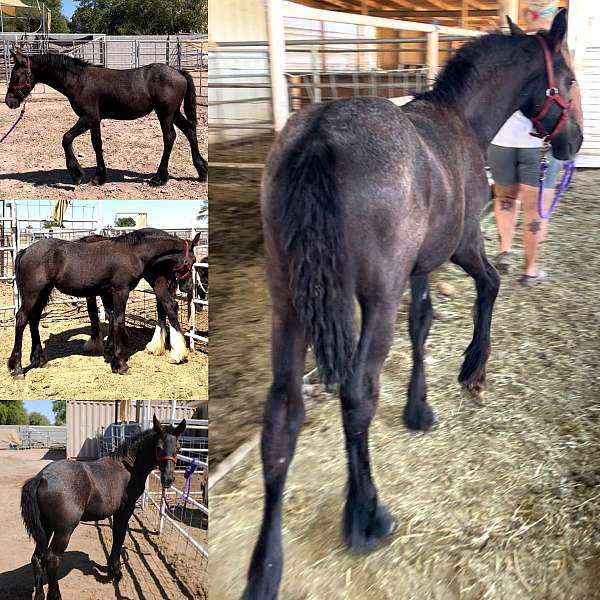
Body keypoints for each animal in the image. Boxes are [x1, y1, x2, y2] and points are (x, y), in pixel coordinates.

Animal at [4, 48, 209, 186]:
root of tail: (179, 72)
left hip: (165, 113)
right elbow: (97, 144)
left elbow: (66, 138)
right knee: (190, 130)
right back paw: (201, 170)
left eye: (15, 77)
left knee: (169, 137)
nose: (9, 102)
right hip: (173, 113)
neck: (78, 81)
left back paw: (159, 178)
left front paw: (77, 174)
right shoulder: (95, 120)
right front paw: (99, 177)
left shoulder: (88, 118)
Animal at [8, 227, 196, 378]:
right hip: (33, 293)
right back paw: (17, 369)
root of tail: (25, 250)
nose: (188, 287)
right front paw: (120, 365)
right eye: (191, 261)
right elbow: (119, 320)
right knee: (22, 319)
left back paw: (39, 361)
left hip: (42, 293)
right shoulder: (120, 291)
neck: (133, 252)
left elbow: (112, 319)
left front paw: (111, 357)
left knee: (34, 320)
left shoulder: (108, 293)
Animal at [21, 414, 185, 596]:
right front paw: (115, 572)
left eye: (178, 447)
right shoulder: (125, 509)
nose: (168, 479)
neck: (129, 466)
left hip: (46, 528)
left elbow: (116, 536)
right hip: (64, 531)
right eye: (158, 447)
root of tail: (41, 477)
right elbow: (119, 537)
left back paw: (39, 595)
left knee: (37, 558)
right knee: (52, 560)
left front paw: (112, 569)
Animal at [241, 10, 584, 600]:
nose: (575, 142)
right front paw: (473, 370)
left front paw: (418, 408)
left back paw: (265, 568)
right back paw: (366, 514)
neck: (460, 120)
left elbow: (422, 325)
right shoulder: (461, 246)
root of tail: (319, 136)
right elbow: (489, 286)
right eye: (567, 79)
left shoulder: (420, 268)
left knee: (282, 416)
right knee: (358, 392)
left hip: (290, 304)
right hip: (374, 298)